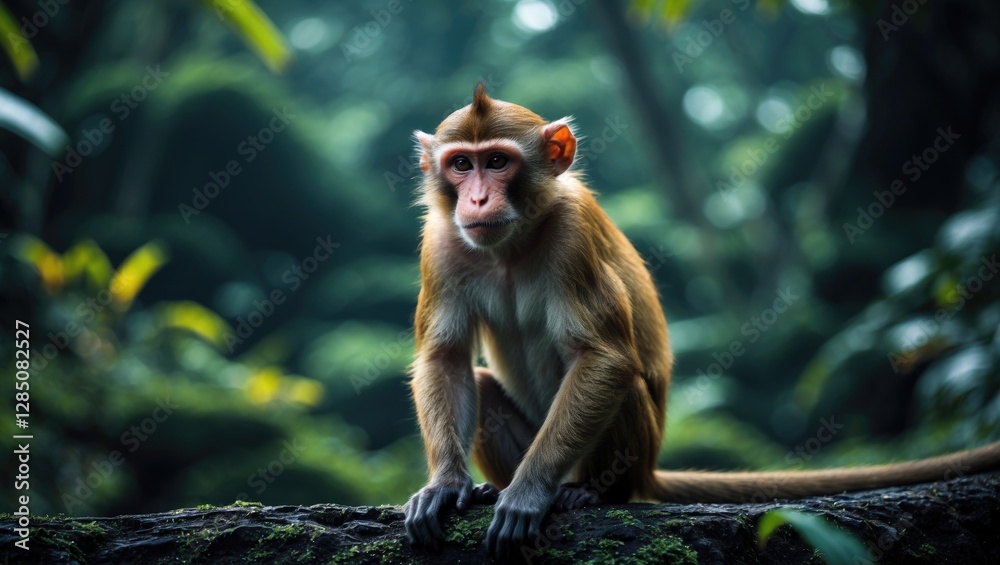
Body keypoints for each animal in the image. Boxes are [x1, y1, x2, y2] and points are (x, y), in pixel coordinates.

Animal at [402, 83, 1000, 559]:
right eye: (462, 165)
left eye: (497, 162)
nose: (478, 199)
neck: (513, 243)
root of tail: (649, 468)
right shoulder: (441, 243)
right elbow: (445, 358)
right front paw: (446, 484)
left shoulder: (571, 234)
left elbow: (605, 358)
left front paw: (527, 493)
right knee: (481, 382)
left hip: (627, 457)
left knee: (621, 389)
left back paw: (589, 493)